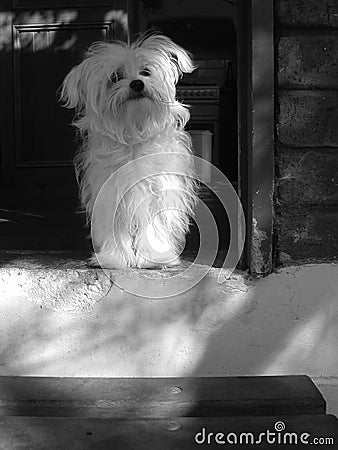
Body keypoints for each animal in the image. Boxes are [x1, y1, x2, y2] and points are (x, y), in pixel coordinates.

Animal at [61, 35, 198, 268]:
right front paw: (113, 258)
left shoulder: (158, 192)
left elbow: (154, 226)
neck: (134, 133)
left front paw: (155, 257)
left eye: (146, 72)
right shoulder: (110, 195)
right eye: (116, 77)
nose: (137, 83)